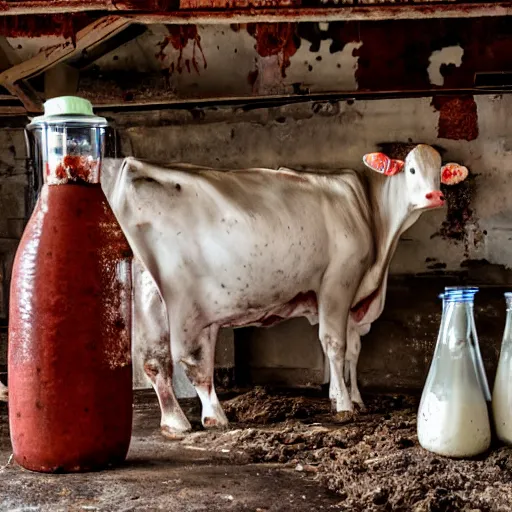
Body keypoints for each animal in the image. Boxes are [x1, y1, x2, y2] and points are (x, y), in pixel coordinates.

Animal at [107, 144, 468, 436]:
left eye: (439, 173)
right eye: (411, 169)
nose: (435, 197)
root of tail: (133, 165)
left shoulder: (352, 299)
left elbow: (352, 350)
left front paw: (349, 397)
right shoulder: (339, 281)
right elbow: (334, 344)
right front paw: (344, 406)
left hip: (148, 292)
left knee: (155, 361)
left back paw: (176, 422)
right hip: (186, 302)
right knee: (192, 361)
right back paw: (214, 416)